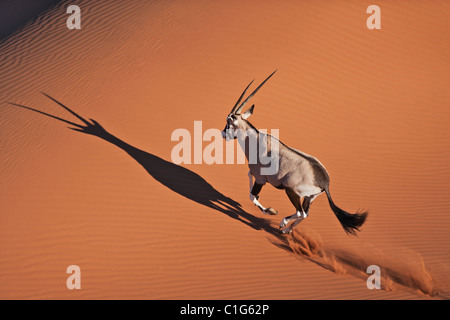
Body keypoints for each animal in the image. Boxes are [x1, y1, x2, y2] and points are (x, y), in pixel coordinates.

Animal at [220, 70, 368, 235]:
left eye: (228, 121)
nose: (223, 134)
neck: (255, 140)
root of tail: (324, 181)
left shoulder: (260, 179)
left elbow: (252, 196)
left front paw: (270, 210)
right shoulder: (255, 174)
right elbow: (249, 178)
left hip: (292, 192)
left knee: (300, 212)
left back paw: (283, 224)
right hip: (309, 197)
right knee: (305, 213)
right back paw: (286, 230)